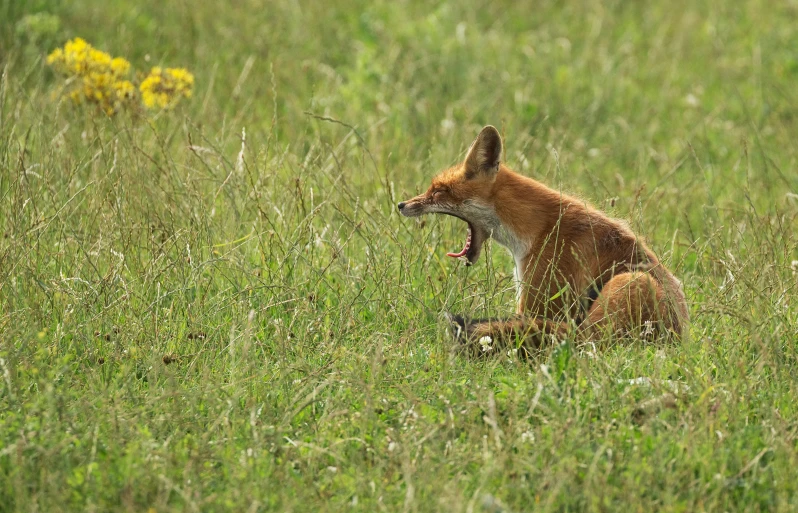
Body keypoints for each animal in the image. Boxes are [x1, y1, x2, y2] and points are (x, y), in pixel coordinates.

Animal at [400, 126, 692, 354]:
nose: (401, 205)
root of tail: (679, 340)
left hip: (629, 284)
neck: (538, 229)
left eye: (438, 191)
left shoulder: (540, 298)